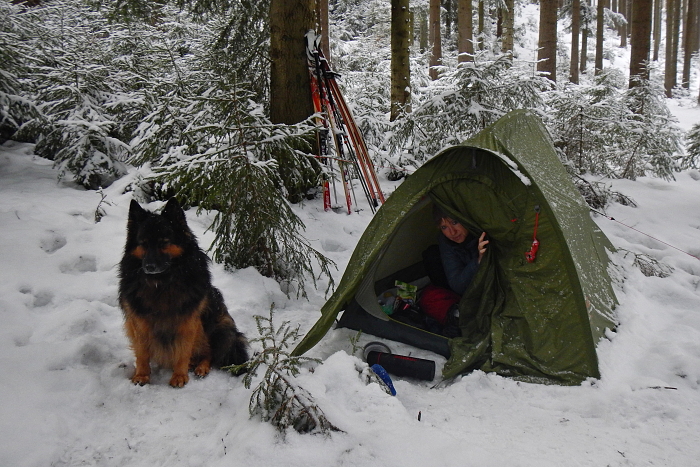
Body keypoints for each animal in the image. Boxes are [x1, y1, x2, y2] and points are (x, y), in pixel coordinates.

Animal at [119, 198, 249, 388]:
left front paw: (179, 375)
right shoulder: (138, 321)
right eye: (143, 243)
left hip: (210, 325)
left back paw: (201, 366)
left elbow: (183, 351)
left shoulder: (188, 320)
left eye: (164, 242)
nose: (149, 267)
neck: (161, 283)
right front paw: (142, 375)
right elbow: (142, 352)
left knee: (209, 352)